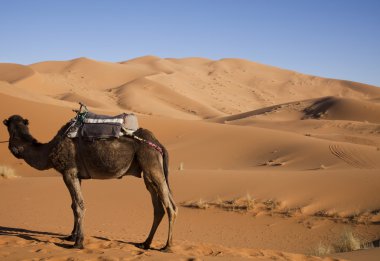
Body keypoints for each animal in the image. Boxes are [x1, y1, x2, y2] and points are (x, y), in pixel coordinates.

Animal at [2, 114, 178, 250]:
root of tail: (159, 144)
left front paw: (78, 243)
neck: (49, 151)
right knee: (159, 208)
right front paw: (71, 236)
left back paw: (167, 246)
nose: (15, 150)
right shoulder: (77, 176)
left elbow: (79, 205)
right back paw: (145, 243)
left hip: (151, 163)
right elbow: (73, 205)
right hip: (148, 172)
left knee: (170, 207)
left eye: (10, 130)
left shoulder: (69, 172)